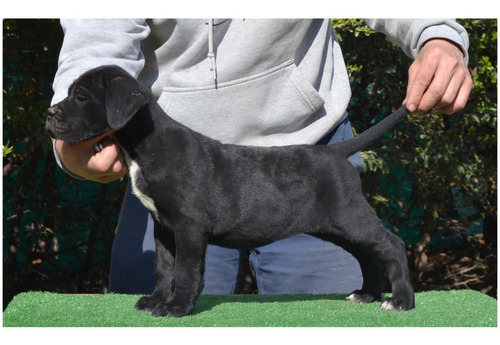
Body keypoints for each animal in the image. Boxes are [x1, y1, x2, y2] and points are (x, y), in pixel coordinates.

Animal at [46, 65, 414, 318]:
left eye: (81, 97)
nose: (49, 114)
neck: (146, 146)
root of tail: (337, 152)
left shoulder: (189, 227)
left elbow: (186, 271)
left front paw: (177, 308)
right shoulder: (164, 227)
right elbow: (164, 268)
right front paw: (157, 300)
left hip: (350, 215)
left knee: (392, 245)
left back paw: (400, 301)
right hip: (335, 226)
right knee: (368, 253)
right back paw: (366, 294)